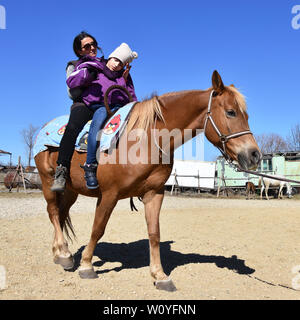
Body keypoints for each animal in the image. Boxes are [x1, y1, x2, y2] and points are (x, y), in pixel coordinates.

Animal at [34, 71, 260, 292]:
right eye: (231, 112)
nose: (254, 155)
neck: (145, 140)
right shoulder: (109, 194)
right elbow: (98, 228)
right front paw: (87, 265)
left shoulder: (154, 193)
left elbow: (154, 233)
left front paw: (160, 276)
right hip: (48, 181)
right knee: (53, 212)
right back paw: (64, 255)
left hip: (71, 190)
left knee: (61, 214)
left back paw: (60, 252)